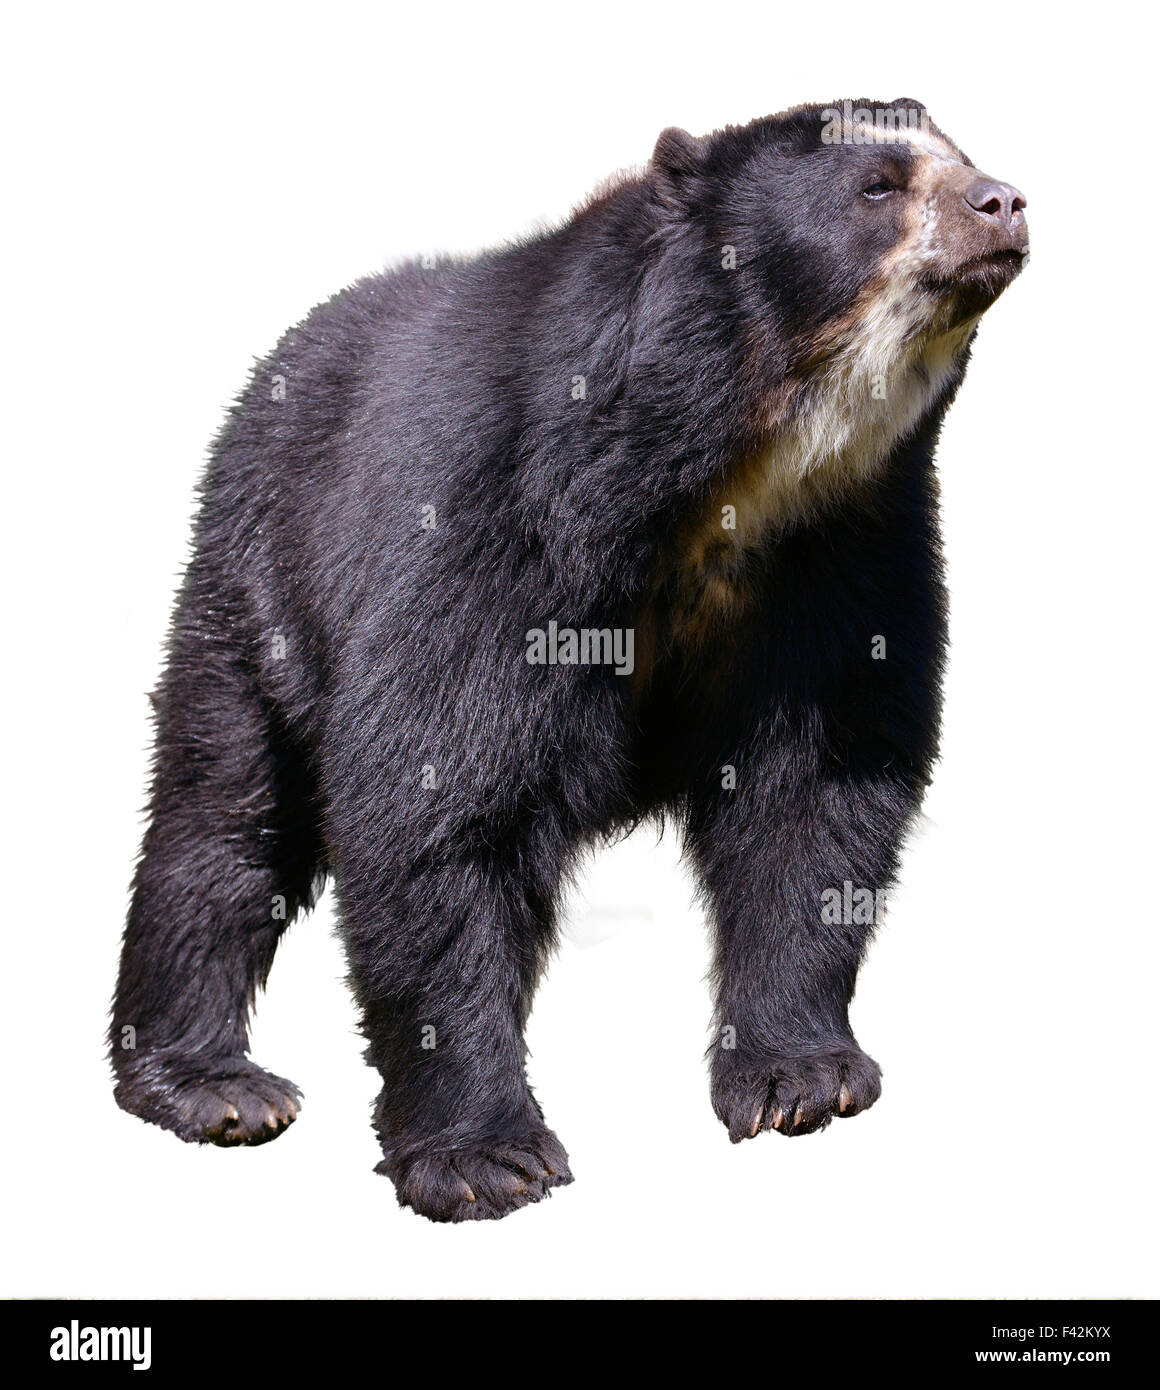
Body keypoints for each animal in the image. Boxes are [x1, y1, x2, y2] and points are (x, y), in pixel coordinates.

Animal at [110, 99, 1028, 1222]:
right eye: (877, 185)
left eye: (962, 156)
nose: (1004, 201)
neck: (731, 467)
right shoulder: (494, 514)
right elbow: (439, 796)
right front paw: (487, 1156)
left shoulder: (845, 549)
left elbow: (817, 787)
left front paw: (798, 1077)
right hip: (261, 574)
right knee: (224, 811)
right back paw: (212, 1084)